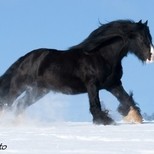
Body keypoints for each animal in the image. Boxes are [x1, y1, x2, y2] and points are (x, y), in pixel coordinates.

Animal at [0, 19, 153, 125]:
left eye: (149, 37)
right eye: (141, 38)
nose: (151, 56)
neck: (102, 56)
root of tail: (25, 58)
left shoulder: (113, 84)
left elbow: (126, 99)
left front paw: (136, 118)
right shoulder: (92, 84)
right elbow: (95, 104)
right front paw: (105, 121)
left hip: (39, 91)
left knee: (20, 105)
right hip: (19, 86)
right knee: (8, 102)